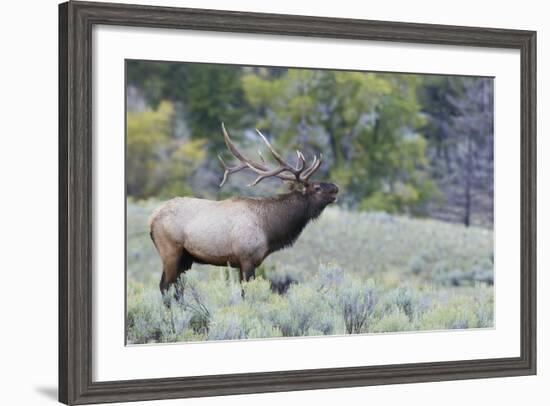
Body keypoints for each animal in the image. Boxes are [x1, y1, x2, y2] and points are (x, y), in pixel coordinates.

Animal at [151, 123, 340, 294]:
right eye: (317, 187)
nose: (336, 187)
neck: (270, 229)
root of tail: (151, 220)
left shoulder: (241, 263)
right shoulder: (247, 257)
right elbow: (247, 293)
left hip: (186, 258)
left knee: (175, 289)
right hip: (170, 251)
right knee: (165, 286)